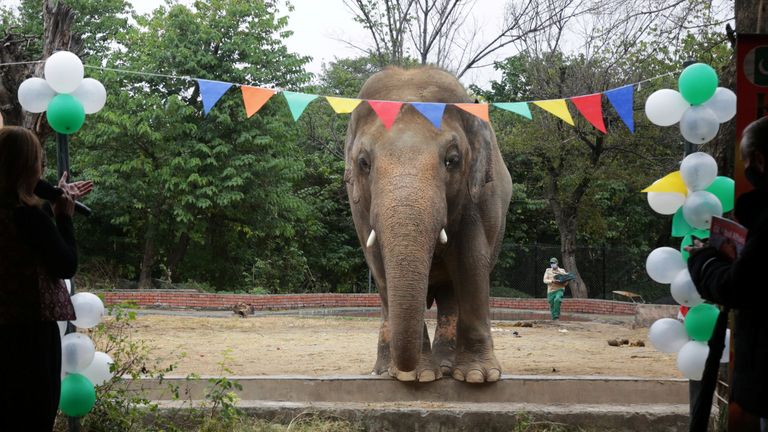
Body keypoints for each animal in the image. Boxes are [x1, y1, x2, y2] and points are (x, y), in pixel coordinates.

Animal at [344, 66, 512, 384]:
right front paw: (415, 377)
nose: (406, 369)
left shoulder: (479, 195)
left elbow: (471, 260)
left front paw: (478, 377)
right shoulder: (358, 206)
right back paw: (384, 371)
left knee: (450, 295)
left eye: (452, 160)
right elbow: (378, 265)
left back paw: (447, 367)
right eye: (363, 163)